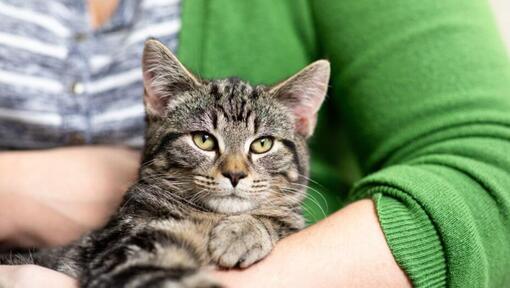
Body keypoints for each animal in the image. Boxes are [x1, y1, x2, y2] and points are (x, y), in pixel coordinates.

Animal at [0, 38, 330, 288]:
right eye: (203, 140)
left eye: (262, 144)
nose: (235, 174)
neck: (209, 218)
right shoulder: (129, 253)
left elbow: (284, 219)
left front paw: (242, 232)